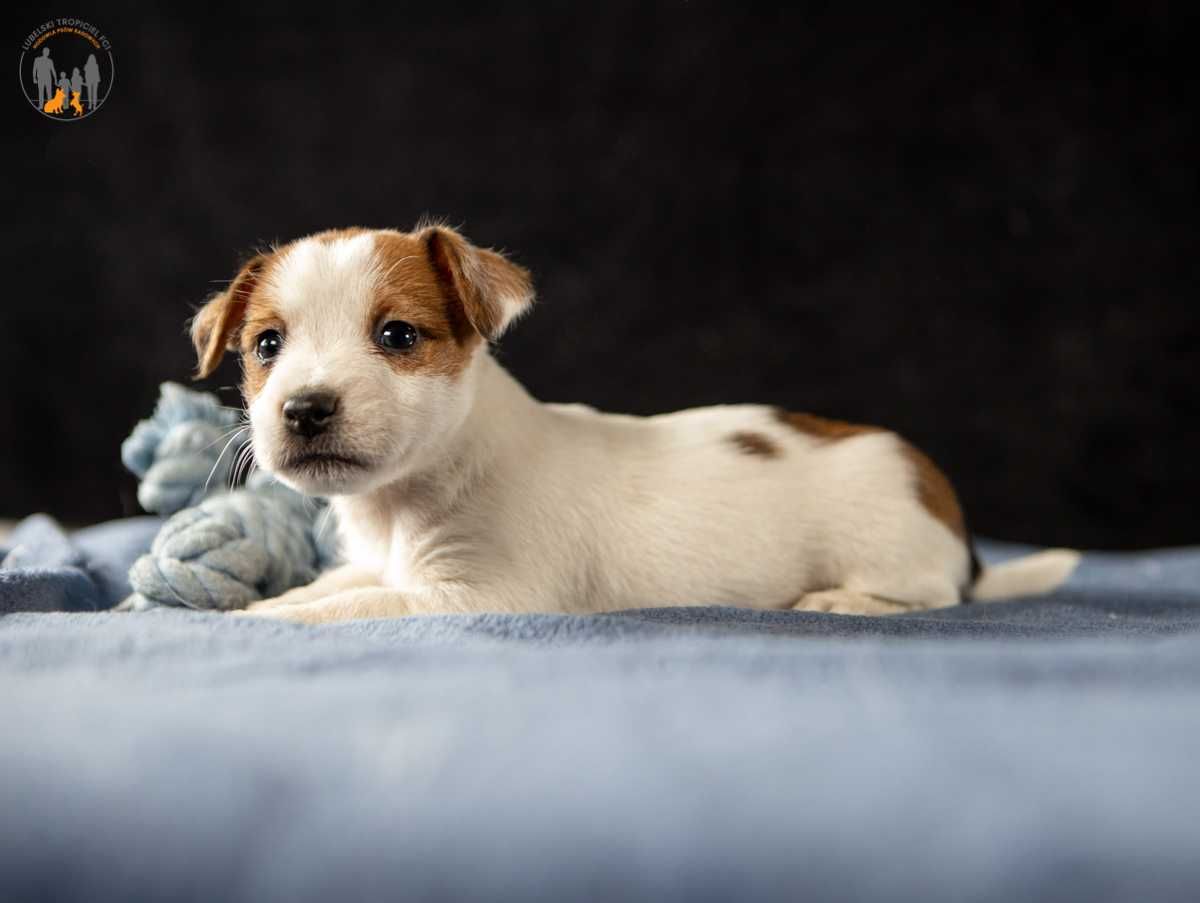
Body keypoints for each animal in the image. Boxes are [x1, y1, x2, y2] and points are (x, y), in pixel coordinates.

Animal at [192, 222, 1084, 624]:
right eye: (266, 345)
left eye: (398, 337)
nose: (304, 407)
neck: (404, 500)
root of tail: (943, 507)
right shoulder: (387, 567)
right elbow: (334, 586)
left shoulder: (480, 594)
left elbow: (340, 608)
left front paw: (255, 619)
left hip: (893, 547)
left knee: (933, 592)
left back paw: (842, 601)